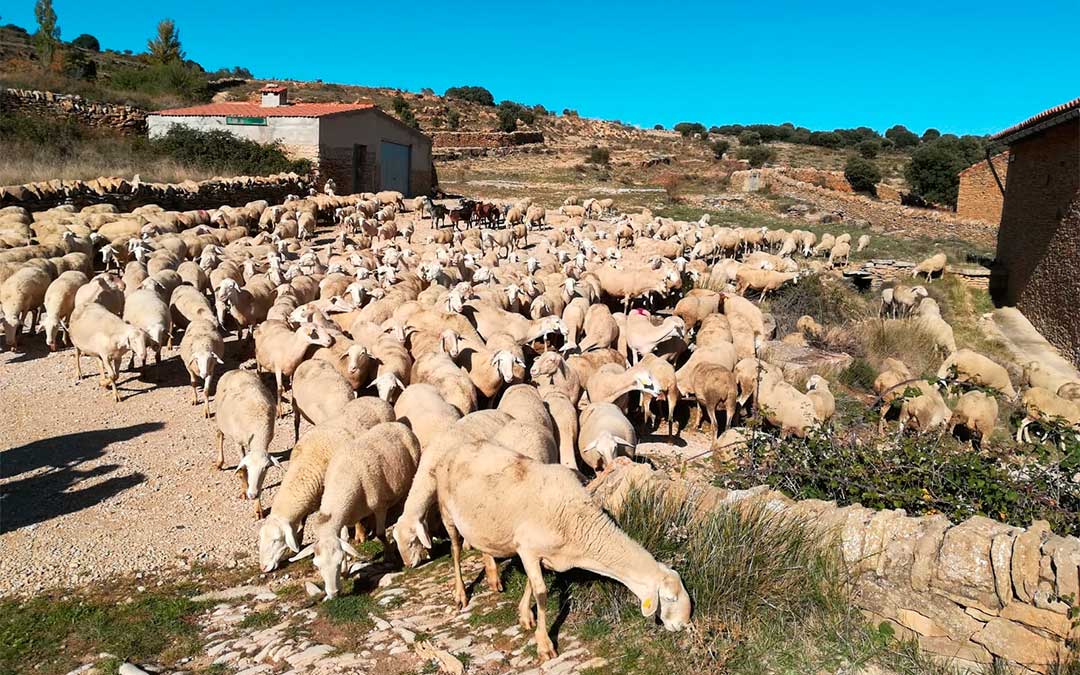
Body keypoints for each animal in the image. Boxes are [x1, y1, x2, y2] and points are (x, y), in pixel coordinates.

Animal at [214, 369, 279, 517]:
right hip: (220, 419)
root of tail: (236, 370)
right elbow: (242, 469)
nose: (252, 495)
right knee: (220, 435)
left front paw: (258, 508)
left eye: (266, 468)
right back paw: (219, 462)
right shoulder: (238, 443)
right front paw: (244, 491)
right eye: (248, 467)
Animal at [290, 422, 421, 598]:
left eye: (337, 562)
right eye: (317, 565)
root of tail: (397, 424)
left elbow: (380, 534)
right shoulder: (344, 517)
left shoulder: (379, 507)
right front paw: (346, 572)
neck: (341, 482)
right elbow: (345, 540)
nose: (333, 594)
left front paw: (390, 556)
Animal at [409, 441, 691, 661]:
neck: (577, 523)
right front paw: (544, 645)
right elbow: (542, 594)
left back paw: (493, 576)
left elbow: (532, 586)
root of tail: (455, 447)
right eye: (670, 599)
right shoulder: (528, 549)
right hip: (447, 511)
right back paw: (460, 594)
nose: (682, 625)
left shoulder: (536, 554)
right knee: (456, 550)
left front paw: (525, 616)